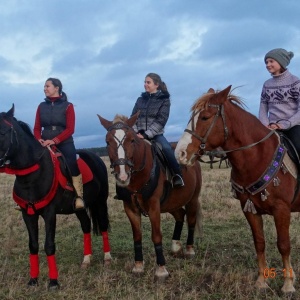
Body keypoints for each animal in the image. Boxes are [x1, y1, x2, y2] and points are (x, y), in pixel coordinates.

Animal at [0, 106, 111, 290]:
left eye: (3, 131)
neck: (32, 176)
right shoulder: (27, 214)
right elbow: (33, 245)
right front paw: (33, 280)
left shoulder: (50, 213)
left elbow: (49, 245)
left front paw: (53, 282)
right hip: (79, 208)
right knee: (86, 226)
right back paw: (86, 260)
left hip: (101, 202)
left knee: (102, 226)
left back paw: (107, 258)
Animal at [98, 112, 202, 282]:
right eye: (107, 142)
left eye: (132, 140)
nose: (122, 176)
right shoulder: (130, 208)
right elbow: (137, 236)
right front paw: (138, 266)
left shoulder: (154, 207)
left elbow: (156, 236)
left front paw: (161, 269)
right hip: (170, 203)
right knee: (180, 215)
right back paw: (175, 246)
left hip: (192, 199)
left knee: (191, 220)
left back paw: (189, 250)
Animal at [175, 85, 300, 292]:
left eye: (205, 117)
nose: (180, 153)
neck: (258, 157)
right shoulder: (249, 209)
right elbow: (259, 243)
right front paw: (261, 282)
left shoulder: (282, 209)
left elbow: (283, 244)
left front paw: (288, 285)